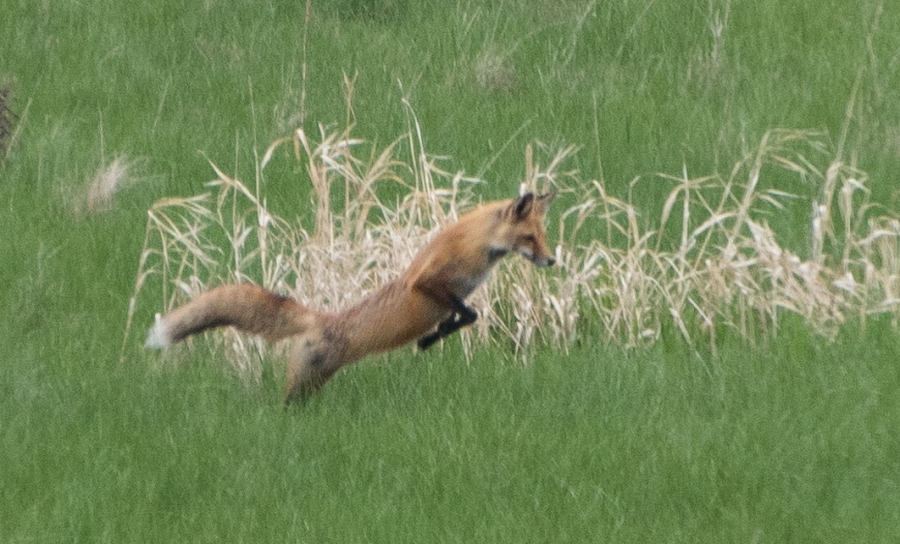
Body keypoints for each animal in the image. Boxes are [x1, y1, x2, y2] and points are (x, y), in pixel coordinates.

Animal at [145, 190, 556, 405]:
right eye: (529, 238)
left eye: (542, 236)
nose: (552, 260)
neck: (480, 248)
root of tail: (322, 319)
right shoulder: (426, 283)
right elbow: (466, 313)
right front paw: (430, 338)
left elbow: (464, 317)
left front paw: (432, 337)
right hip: (305, 382)